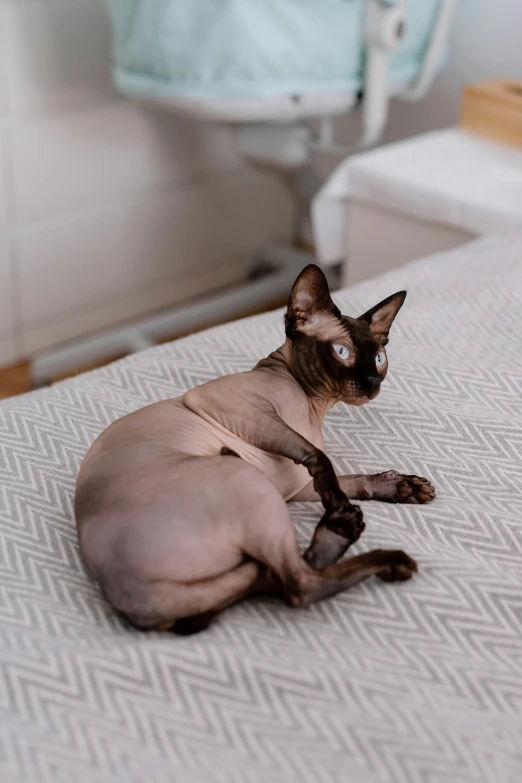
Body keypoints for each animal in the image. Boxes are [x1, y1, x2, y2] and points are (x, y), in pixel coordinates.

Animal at [75, 266, 432, 632]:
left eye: (379, 358)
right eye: (342, 352)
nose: (374, 383)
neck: (315, 406)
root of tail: (126, 596)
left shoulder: (295, 489)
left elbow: (350, 480)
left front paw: (400, 487)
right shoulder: (233, 406)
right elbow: (321, 460)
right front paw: (337, 498)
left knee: (283, 574)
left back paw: (342, 527)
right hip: (250, 482)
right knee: (297, 583)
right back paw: (381, 553)